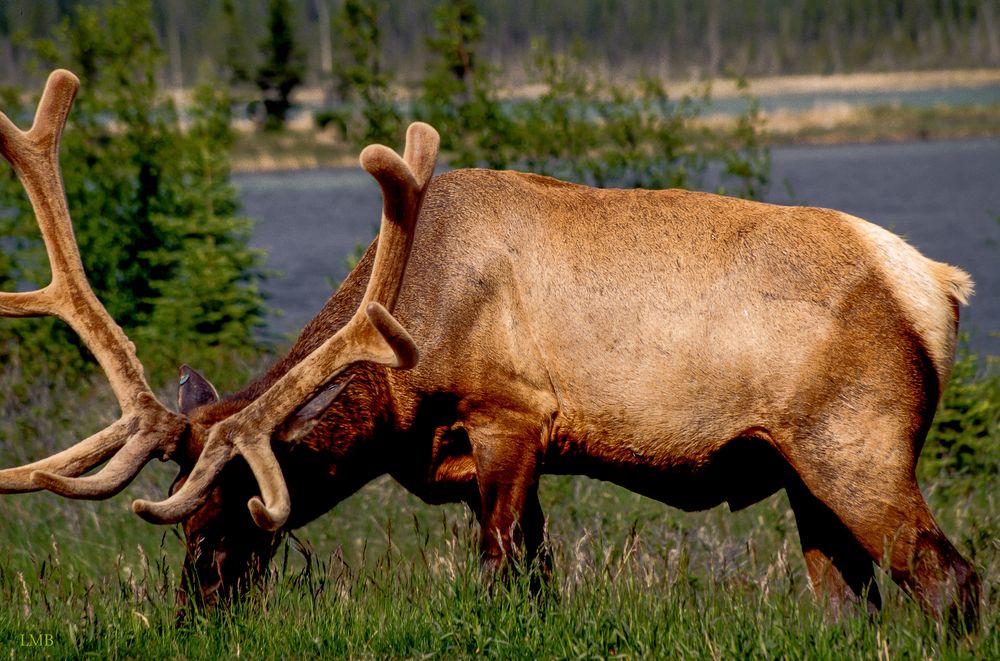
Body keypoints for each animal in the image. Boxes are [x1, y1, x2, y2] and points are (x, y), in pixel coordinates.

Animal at [0, 69, 980, 628]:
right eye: (182, 507)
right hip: (802, 471)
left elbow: (503, 572)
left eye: (243, 502)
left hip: (858, 445)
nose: (193, 607)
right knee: (849, 607)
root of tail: (940, 288)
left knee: (950, 580)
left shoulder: (511, 414)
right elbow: (538, 578)